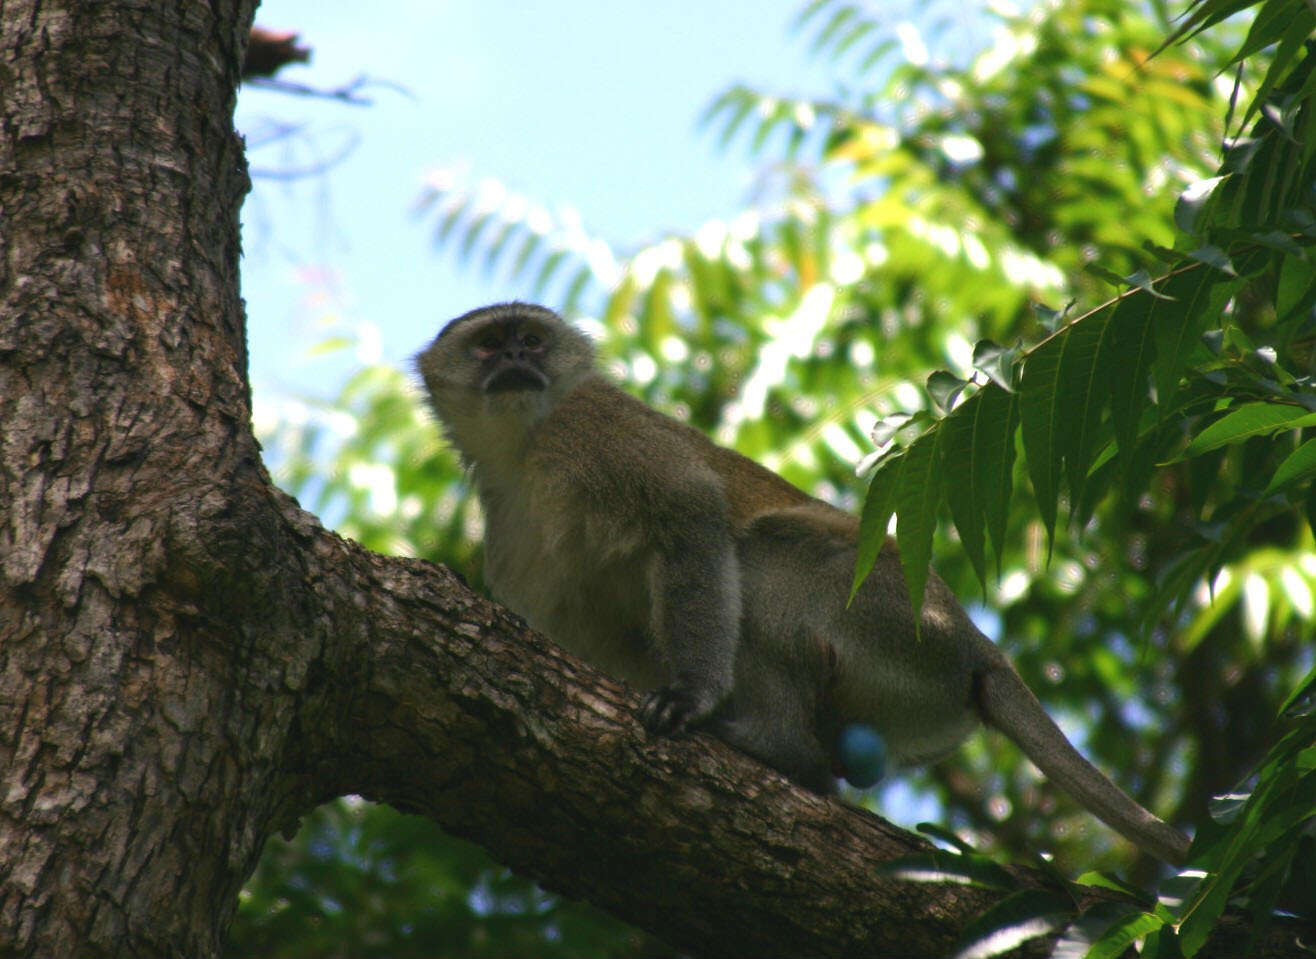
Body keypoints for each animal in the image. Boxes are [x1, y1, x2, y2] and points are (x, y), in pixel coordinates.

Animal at [418, 302, 1194, 862]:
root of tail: (978, 650)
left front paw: (690, 697)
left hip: (894, 622)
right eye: (491, 345)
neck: (524, 447)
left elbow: (690, 510)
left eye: (530, 340)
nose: (514, 360)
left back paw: (776, 744)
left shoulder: (594, 431)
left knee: (760, 556)